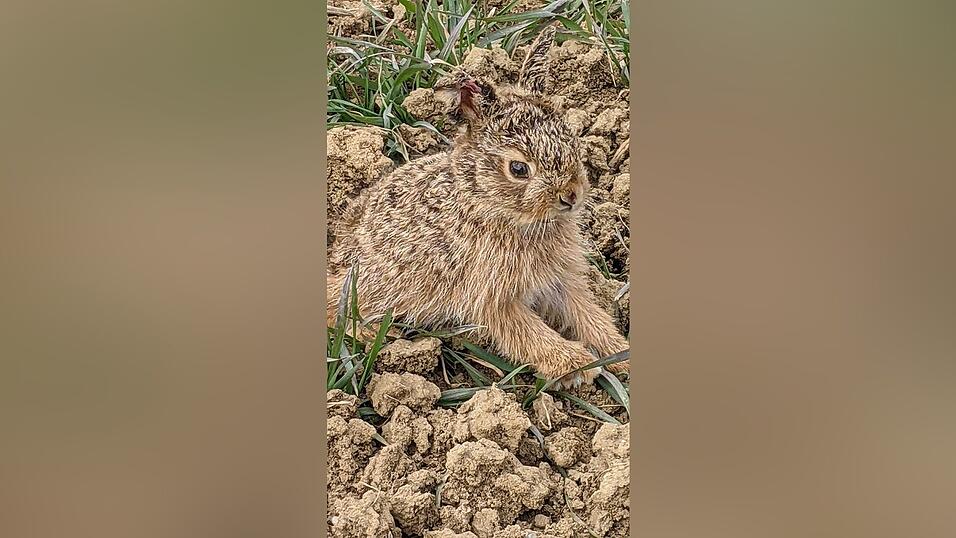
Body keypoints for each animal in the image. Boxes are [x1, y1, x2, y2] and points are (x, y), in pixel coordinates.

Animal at [327, 26, 629, 387]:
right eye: (518, 168)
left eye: (572, 140)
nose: (571, 195)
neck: (487, 203)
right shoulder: (489, 296)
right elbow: (526, 333)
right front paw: (575, 365)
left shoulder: (560, 280)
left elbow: (587, 313)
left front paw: (619, 353)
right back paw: (379, 336)